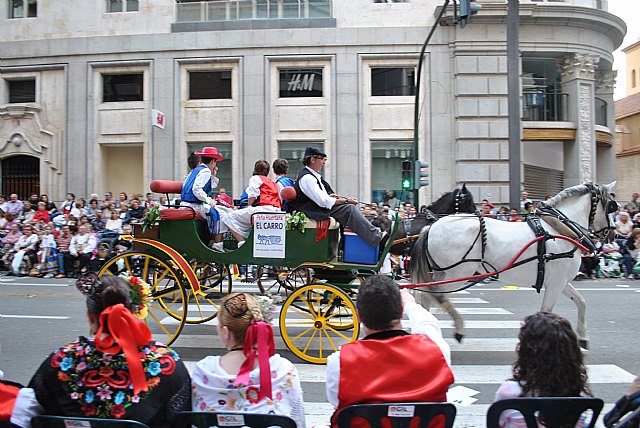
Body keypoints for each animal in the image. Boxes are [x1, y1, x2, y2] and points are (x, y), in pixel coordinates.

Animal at [410, 181, 616, 348]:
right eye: (611, 206)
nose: (613, 233)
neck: (559, 228)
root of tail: (430, 227)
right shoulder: (555, 284)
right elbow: (546, 312)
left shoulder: (560, 282)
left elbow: (581, 302)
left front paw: (582, 337)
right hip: (456, 274)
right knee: (435, 295)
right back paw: (456, 328)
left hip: (443, 273)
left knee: (425, 295)